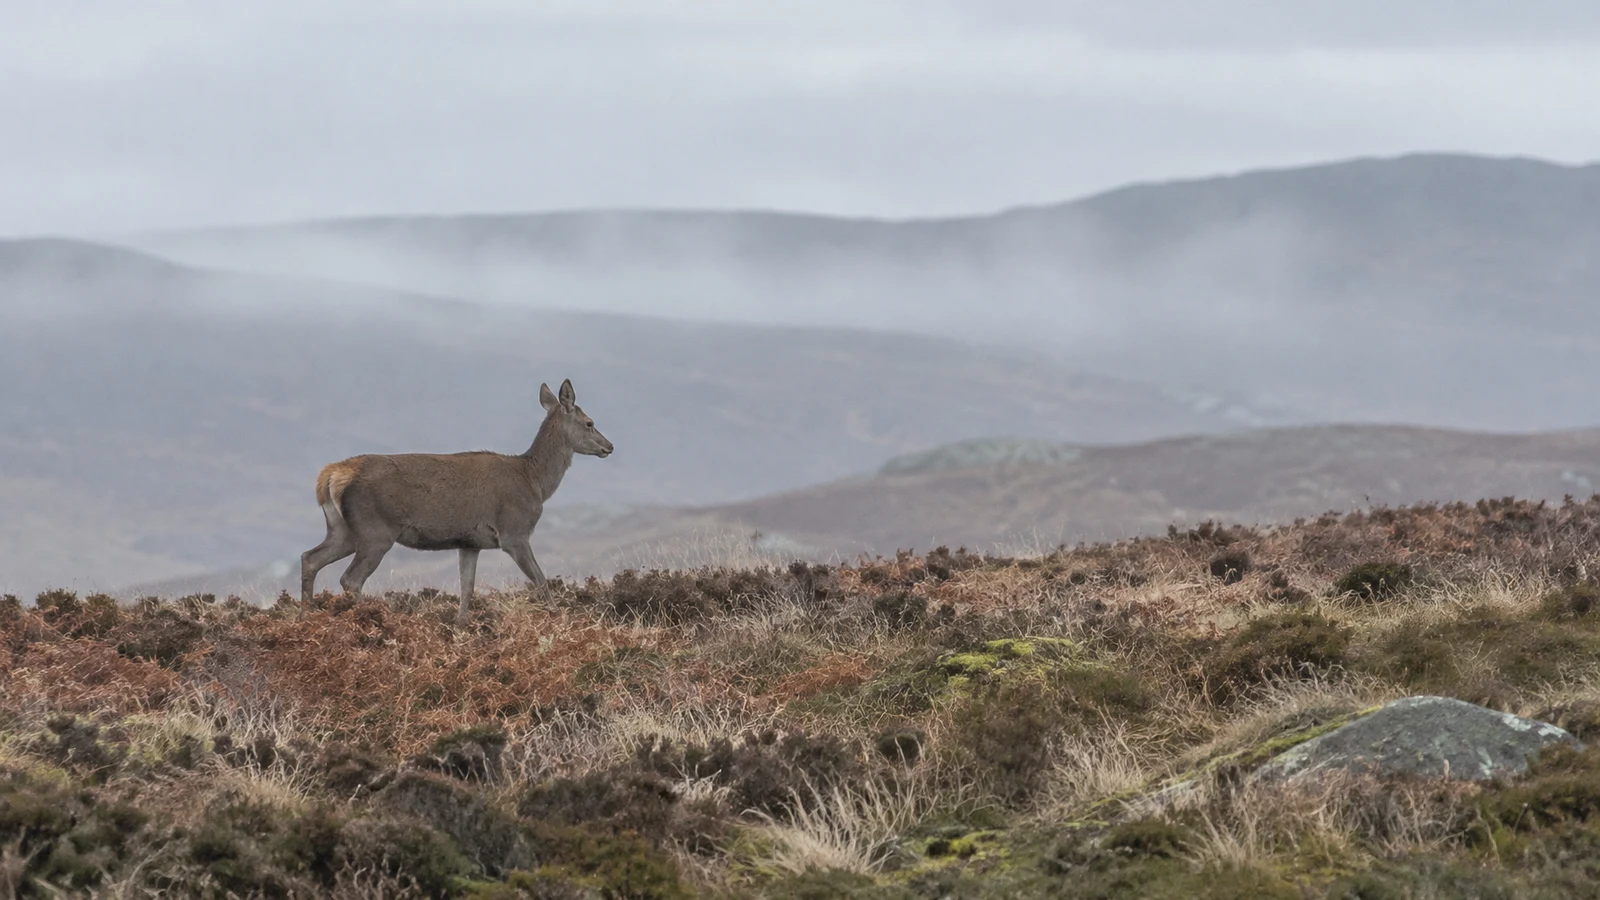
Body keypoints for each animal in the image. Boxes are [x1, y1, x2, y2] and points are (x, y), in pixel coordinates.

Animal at [298, 378, 613, 622]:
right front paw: (557, 617)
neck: (534, 482)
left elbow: (467, 590)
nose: (609, 446)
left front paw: (462, 626)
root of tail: (331, 475)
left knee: (310, 558)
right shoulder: (514, 531)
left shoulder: (469, 542)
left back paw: (306, 616)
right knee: (350, 578)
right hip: (375, 530)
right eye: (589, 422)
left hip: (344, 529)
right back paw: (375, 618)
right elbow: (540, 580)